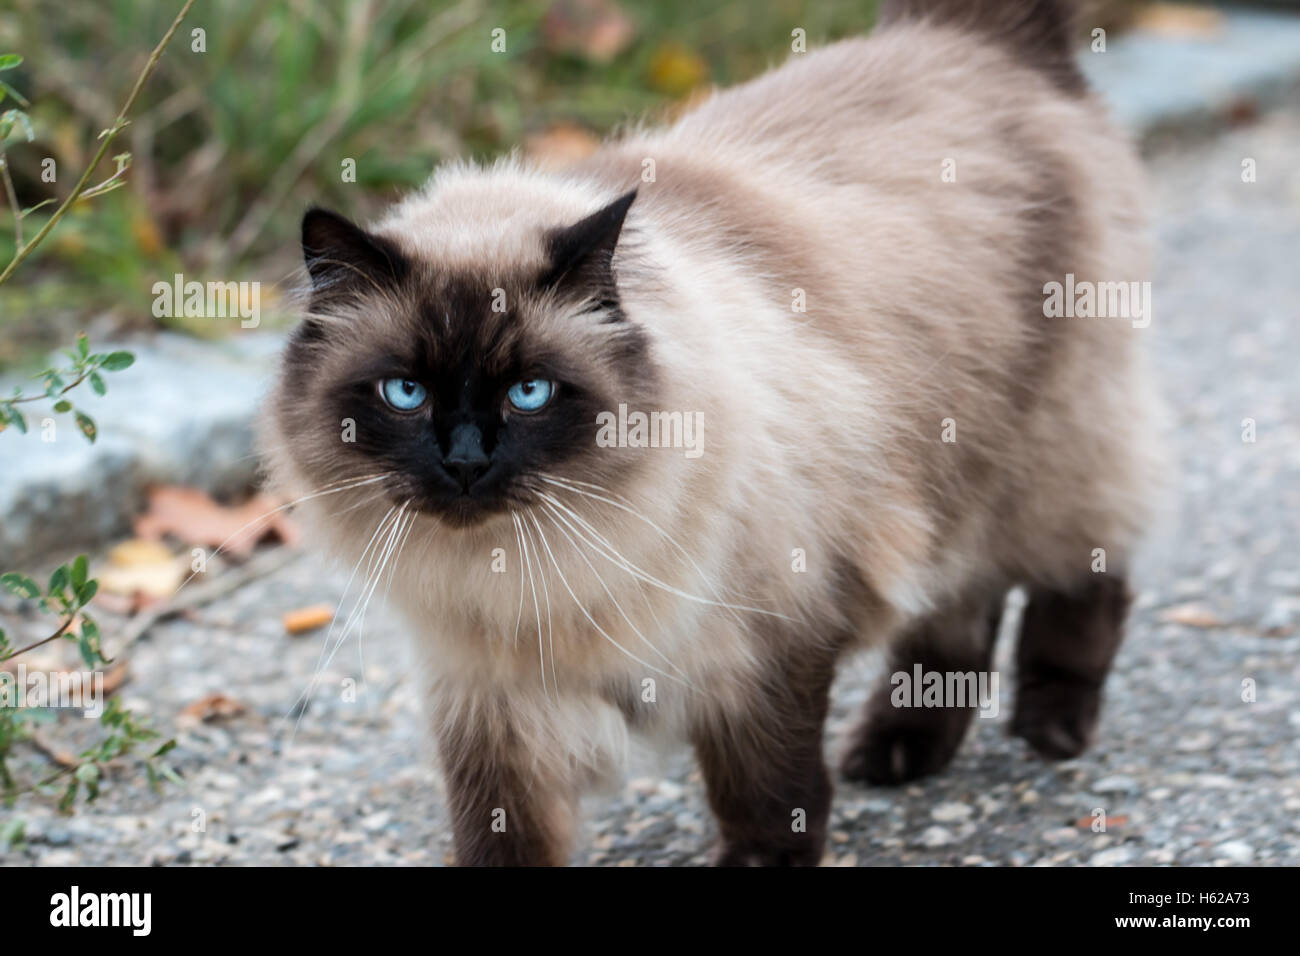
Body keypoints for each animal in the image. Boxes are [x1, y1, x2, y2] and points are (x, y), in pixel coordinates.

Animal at [263, 0, 1170, 868]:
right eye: (406, 392)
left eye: (529, 393)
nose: (463, 462)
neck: (527, 577)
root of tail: (964, 36)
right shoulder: (493, 700)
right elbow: (502, 832)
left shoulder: (762, 647)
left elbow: (767, 790)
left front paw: (762, 858)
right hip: (946, 495)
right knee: (960, 617)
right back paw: (898, 754)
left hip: (1039, 463)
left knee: (1082, 576)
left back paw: (1048, 732)